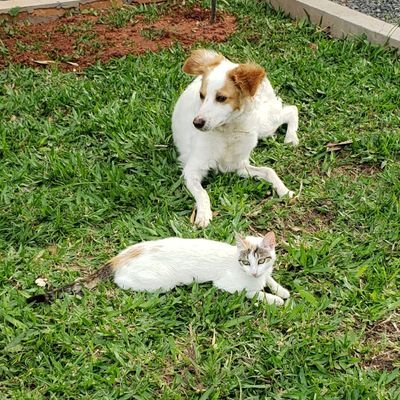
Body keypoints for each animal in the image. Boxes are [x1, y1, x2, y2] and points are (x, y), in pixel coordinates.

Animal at [28, 231, 290, 306]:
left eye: (262, 260)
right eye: (246, 262)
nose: (254, 271)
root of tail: (118, 257)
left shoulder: (264, 273)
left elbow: (269, 279)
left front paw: (281, 290)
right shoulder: (228, 285)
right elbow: (254, 292)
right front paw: (275, 300)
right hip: (161, 281)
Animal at [170, 48, 298, 227]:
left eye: (221, 98)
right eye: (201, 95)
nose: (196, 123)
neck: (228, 131)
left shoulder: (239, 165)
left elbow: (269, 171)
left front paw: (284, 190)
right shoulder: (192, 170)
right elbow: (203, 193)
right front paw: (203, 214)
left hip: (264, 125)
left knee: (292, 109)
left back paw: (291, 137)